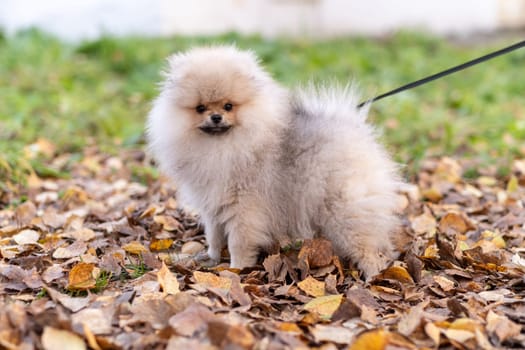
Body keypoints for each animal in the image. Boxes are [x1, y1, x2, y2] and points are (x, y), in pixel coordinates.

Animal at [146, 45, 402, 278]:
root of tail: (353, 128)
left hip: (345, 206)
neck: (221, 146)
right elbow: (214, 235)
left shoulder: (244, 207)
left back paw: (373, 274)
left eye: (229, 106)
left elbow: (239, 241)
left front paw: (236, 269)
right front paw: (212, 257)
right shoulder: (213, 203)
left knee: (366, 243)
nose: (216, 117)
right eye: (200, 108)